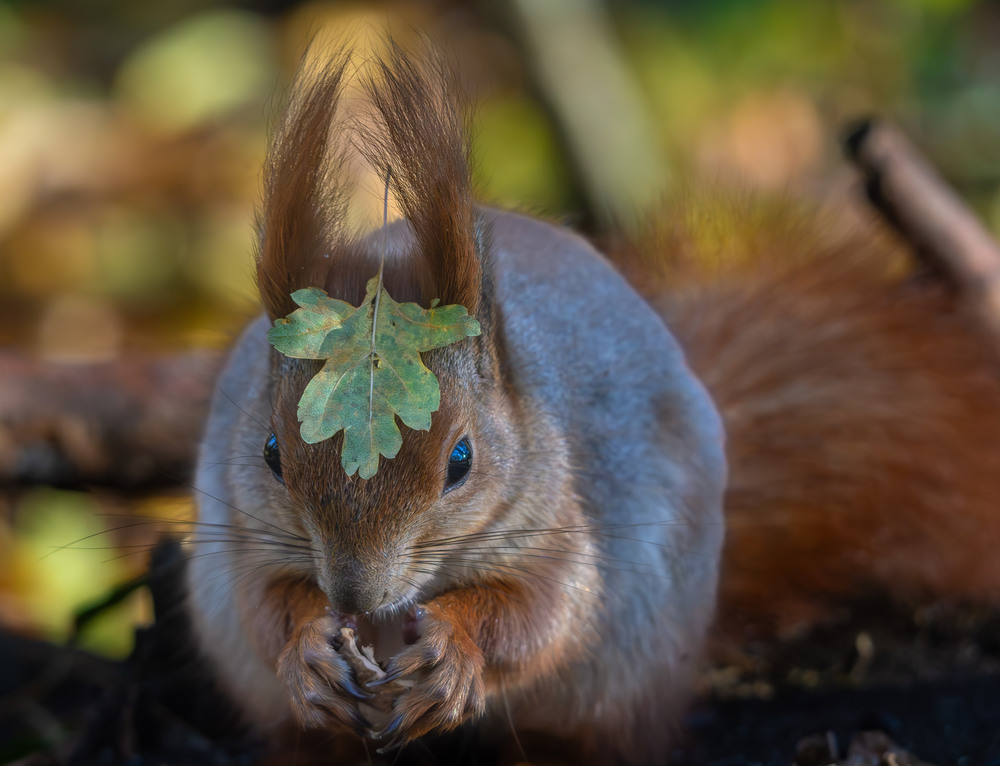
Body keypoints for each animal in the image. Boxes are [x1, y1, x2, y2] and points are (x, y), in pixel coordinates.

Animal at [184, 45, 1000, 764]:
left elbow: (545, 612)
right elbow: (263, 604)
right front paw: (309, 650)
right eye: (270, 454)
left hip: (629, 674)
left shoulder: (563, 524)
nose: (356, 595)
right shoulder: (243, 529)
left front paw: (455, 653)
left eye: (461, 461)